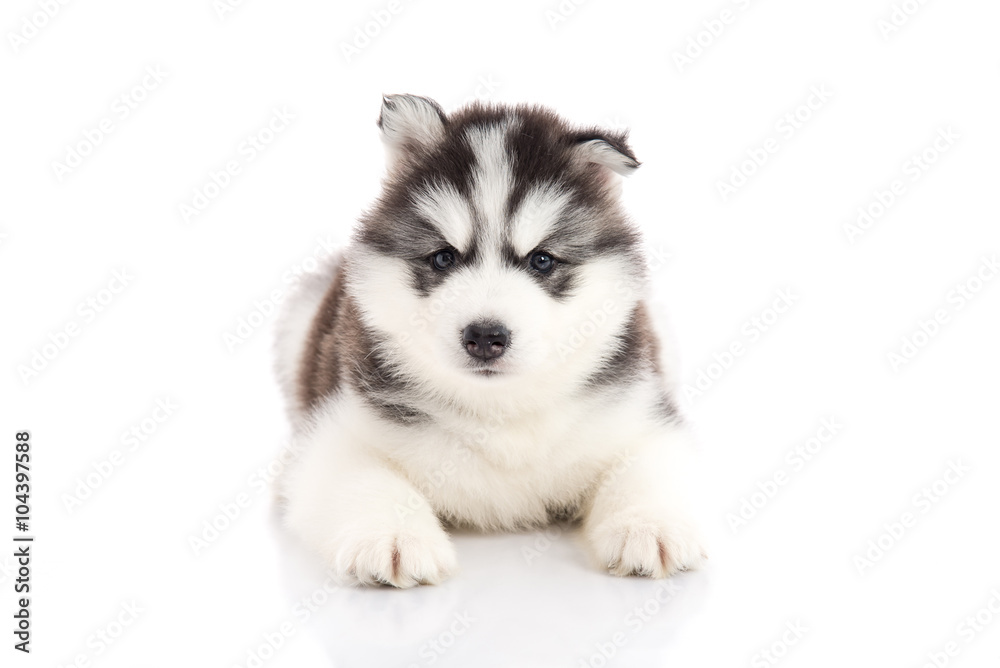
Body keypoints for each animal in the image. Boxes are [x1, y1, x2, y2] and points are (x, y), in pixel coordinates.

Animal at [274, 95, 708, 588]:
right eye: (443, 258)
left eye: (542, 260)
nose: (485, 336)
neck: (500, 410)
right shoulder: (330, 435)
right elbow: (365, 478)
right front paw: (393, 537)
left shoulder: (643, 414)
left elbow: (643, 467)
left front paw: (650, 526)